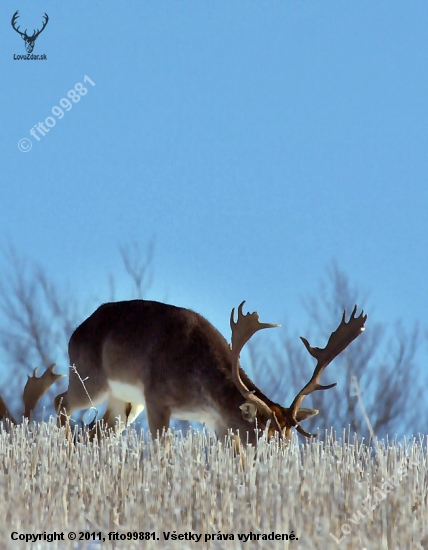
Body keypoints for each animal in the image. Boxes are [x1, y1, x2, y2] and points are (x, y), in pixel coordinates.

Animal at [53, 300, 368, 446]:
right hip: (89, 378)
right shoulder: (156, 399)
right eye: (263, 435)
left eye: (290, 441)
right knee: (61, 401)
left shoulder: (217, 421)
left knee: (96, 431)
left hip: (125, 402)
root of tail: (74, 333)